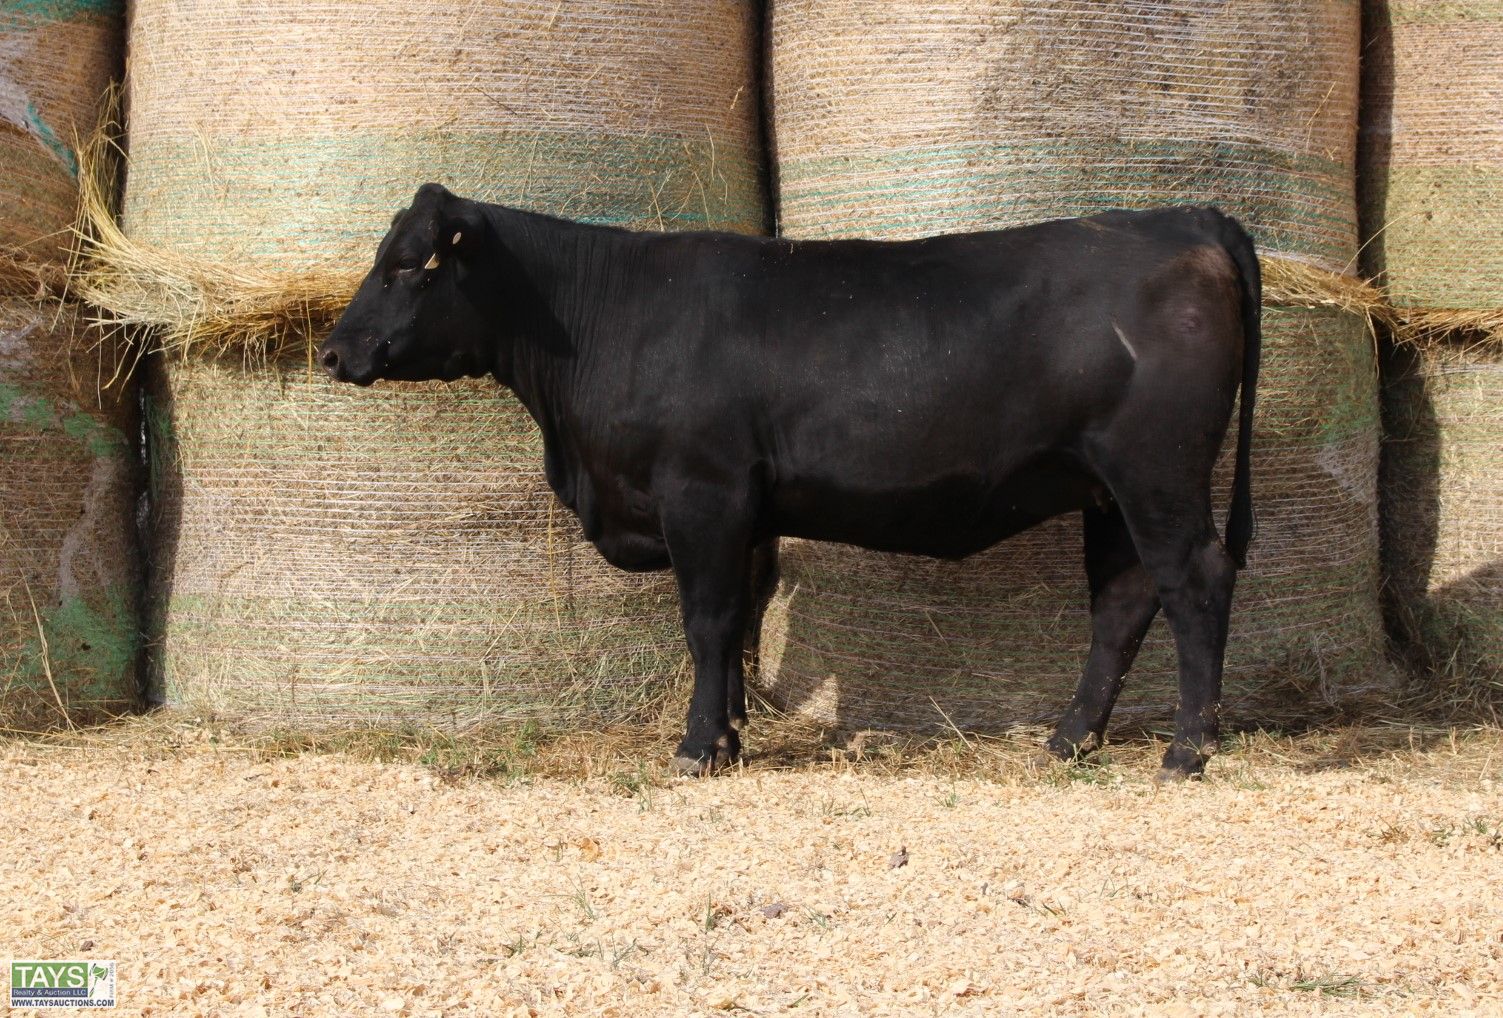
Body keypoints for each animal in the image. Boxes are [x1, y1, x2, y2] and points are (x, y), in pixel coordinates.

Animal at [319, 183, 1261, 781]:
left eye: (409, 264)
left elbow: (706, 623)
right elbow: (734, 622)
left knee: (1196, 582)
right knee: (1123, 604)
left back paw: (1187, 750)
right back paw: (1069, 741)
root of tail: (1186, 217)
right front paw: (730, 735)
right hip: (1106, 490)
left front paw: (697, 748)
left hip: (1156, 473)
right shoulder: (740, 510)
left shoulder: (702, 491)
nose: (333, 350)